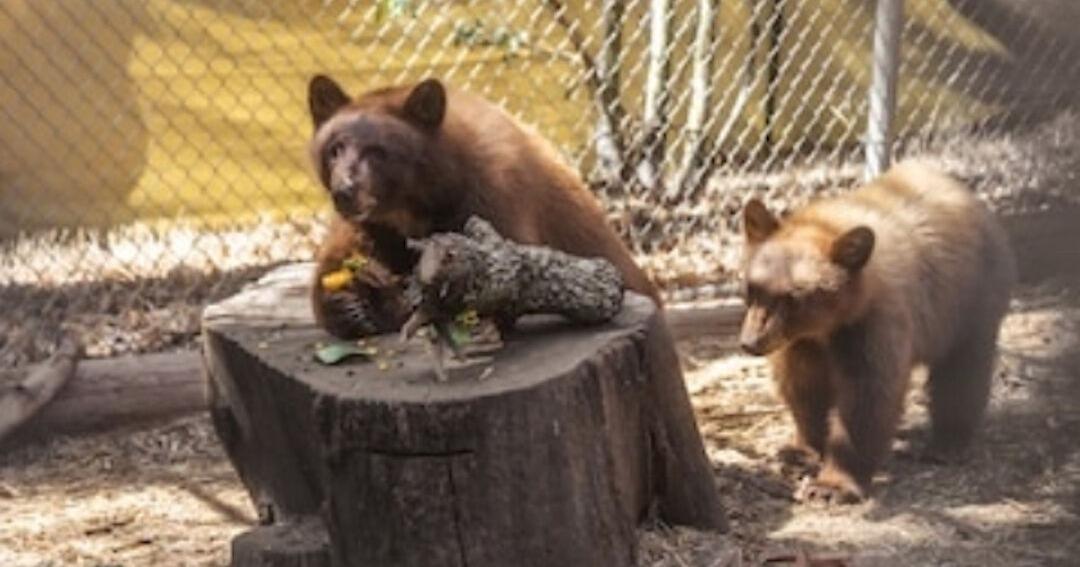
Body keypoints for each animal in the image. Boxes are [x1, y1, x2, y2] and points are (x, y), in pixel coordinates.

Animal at [306, 75, 658, 338]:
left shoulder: (493, 198)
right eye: (335, 149)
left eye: (378, 152)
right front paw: (351, 303)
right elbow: (340, 258)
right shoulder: (375, 225)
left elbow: (496, 283)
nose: (344, 191)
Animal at [738, 160, 1016, 503]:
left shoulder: (873, 322)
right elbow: (803, 386)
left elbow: (868, 396)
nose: (750, 343)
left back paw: (948, 443)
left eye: (792, 297)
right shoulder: (800, 342)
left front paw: (831, 484)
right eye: (751, 288)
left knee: (963, 372)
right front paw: (800, 449)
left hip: (971, 300)